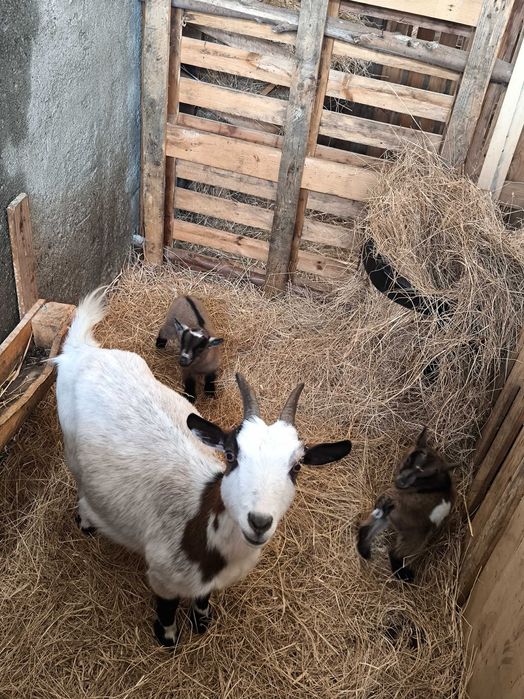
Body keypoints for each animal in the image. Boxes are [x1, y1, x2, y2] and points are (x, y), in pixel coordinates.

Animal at [55, 289, 352, 646]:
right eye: (231, 455)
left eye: (297, 467)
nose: (259, 521)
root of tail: (83, 350)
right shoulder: (163, 576)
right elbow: (167, 610)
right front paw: (168, 638)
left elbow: (202, 599)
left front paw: (202, 621)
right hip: (71, 448)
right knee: (80, 484)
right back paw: (86, 520)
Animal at [357, 428, 455, 582]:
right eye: (409, 460)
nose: (402, 481)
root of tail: (393, 498)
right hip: (416, 533)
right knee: (395, 552)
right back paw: (405, 575)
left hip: (386, 516)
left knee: (367, 527)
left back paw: (364, 551)